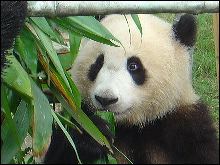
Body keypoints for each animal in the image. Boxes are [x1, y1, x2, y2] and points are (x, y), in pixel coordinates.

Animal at [44, 14, 218, 164]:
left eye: (133, 66)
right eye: (98, 63)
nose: (106, 99)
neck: (134, 124)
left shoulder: (186, 128)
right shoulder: (77, 113)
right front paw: (91, 136)